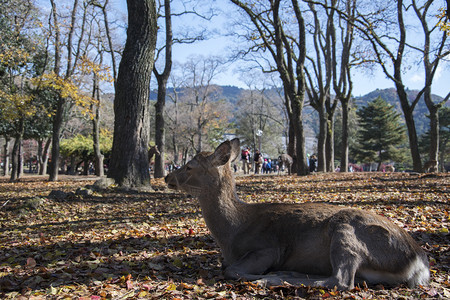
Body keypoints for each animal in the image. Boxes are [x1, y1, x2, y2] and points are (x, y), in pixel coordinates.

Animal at [164, 139, 428, 290]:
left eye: (189, 166)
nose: (167, 177)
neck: (232, 232)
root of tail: (418, 261)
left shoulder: (268, 247)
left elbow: (231, 270)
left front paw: (258, 275)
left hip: (347, 231)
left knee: (342, 281)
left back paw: (273, 278)